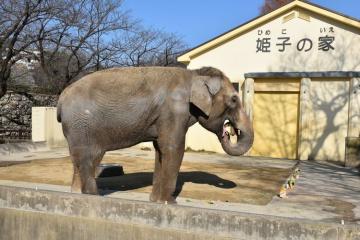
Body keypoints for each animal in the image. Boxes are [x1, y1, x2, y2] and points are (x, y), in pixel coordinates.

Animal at [57, 66, 253, 203]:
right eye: (234, 99)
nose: (228, 131)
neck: (194, 74)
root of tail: (61, 98)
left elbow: (160, 150)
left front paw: (155, 202)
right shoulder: (174, 110)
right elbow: (173, 148)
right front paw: (170, 203)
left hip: (78, 128)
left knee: (82, 159)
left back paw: (77, 195)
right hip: (82, 124)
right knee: (88, 157)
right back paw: (93, 196)